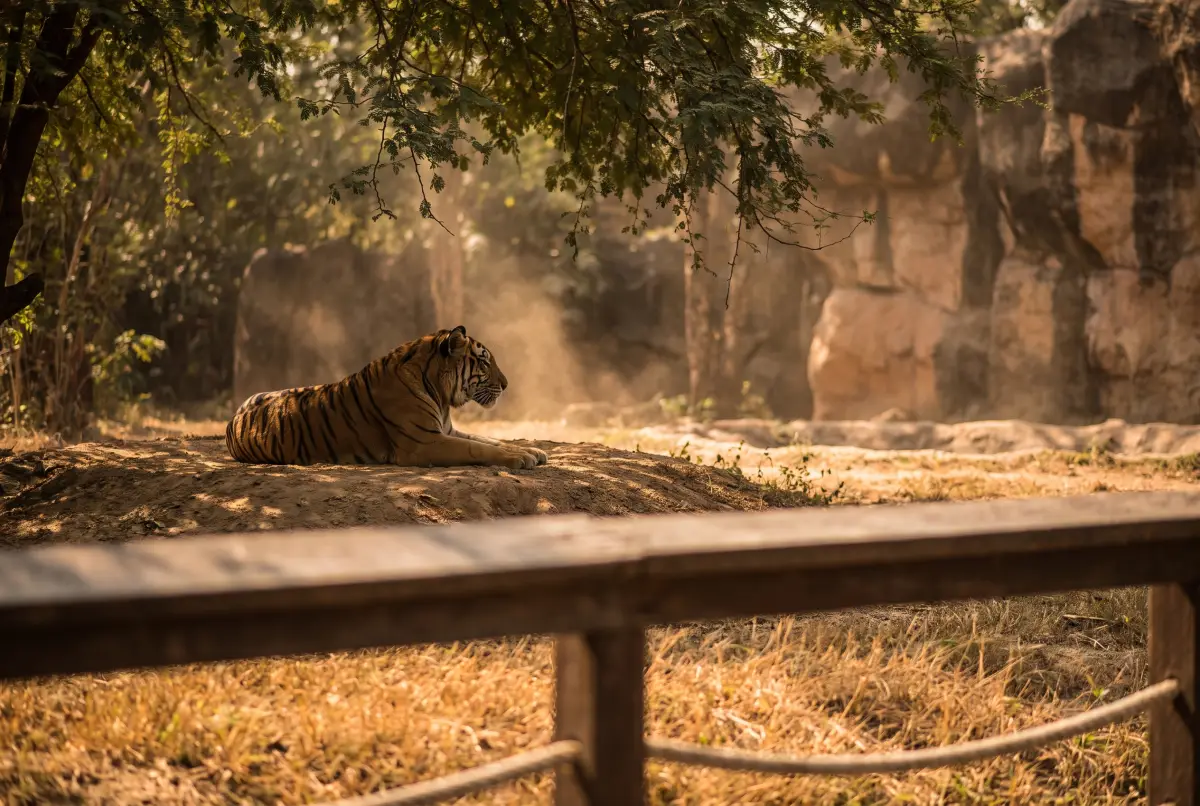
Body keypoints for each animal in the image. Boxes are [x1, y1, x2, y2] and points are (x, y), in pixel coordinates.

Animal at [224, 325, 549, 469]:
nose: (506, 384)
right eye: (483, 362)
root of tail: (234, 417)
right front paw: (521, 458)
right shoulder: (425, 443)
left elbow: (490, 440)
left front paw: (533, 451)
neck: (440, 394)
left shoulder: (447, 430)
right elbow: (477, 449)